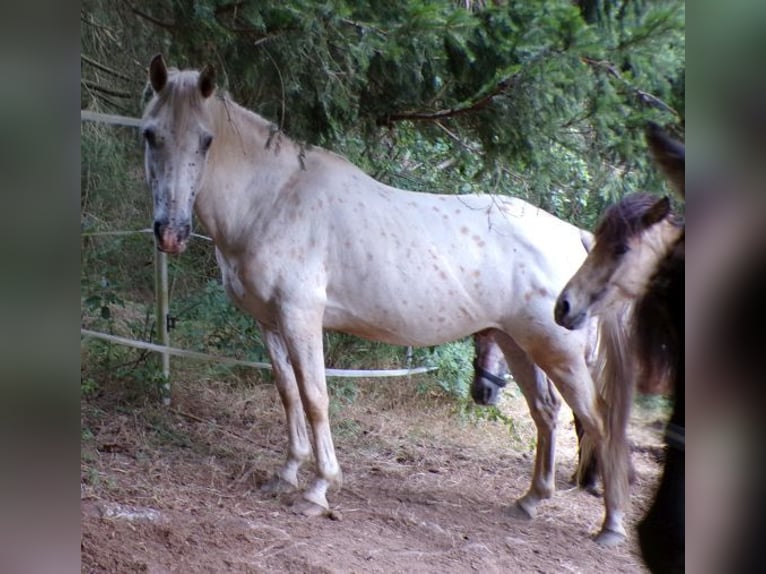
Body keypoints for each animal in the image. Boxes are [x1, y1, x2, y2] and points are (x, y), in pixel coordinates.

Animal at [141, 54, 628, 544]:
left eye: (206, 140)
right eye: (150, 133)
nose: (170, 233)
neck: (274, 198)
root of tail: (577, 237)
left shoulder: (301, 317)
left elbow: (315, 397)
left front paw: (318, 489)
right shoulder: (270, 323)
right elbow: (288, 394)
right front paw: (286, 474)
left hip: (559, 353)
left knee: (599, 423)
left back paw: (611, 525)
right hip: (516, 343)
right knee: (545, 413)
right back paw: (530, 501)